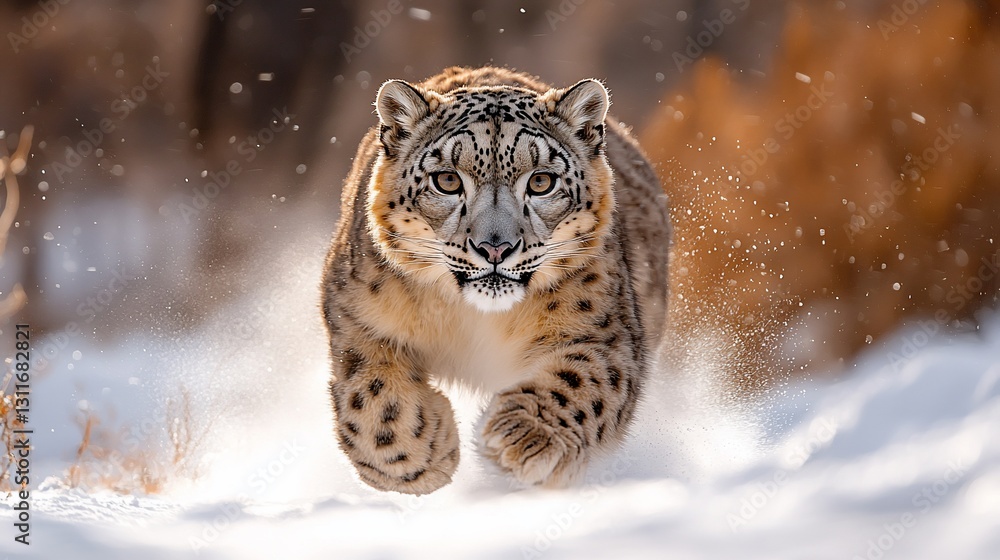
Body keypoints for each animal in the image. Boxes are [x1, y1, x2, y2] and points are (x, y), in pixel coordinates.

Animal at [321, 66, 670, 495]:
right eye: (447, 181)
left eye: (540, 182)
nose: (494, 248)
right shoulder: (359, 323)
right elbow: (371, 398)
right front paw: (424, 456)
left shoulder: (605, 333)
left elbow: (583, 380)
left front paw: (525, 437)